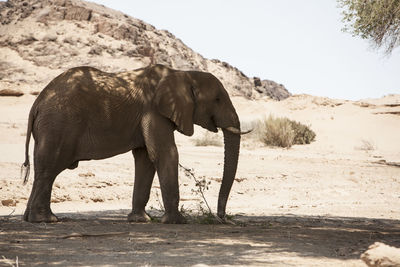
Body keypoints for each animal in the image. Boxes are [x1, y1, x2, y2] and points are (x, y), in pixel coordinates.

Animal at [21, 64, 247, 224]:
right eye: (217, 99)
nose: (222, 218)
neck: (182, 74)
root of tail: (37, 103)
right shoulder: (154, 112)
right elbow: (166, 154)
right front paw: (177, 222)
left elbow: (145, 159)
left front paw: (140, 220)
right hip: (57, 125)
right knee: (49, 169)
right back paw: (46, 220)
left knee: (43, 169)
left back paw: (30, 218)